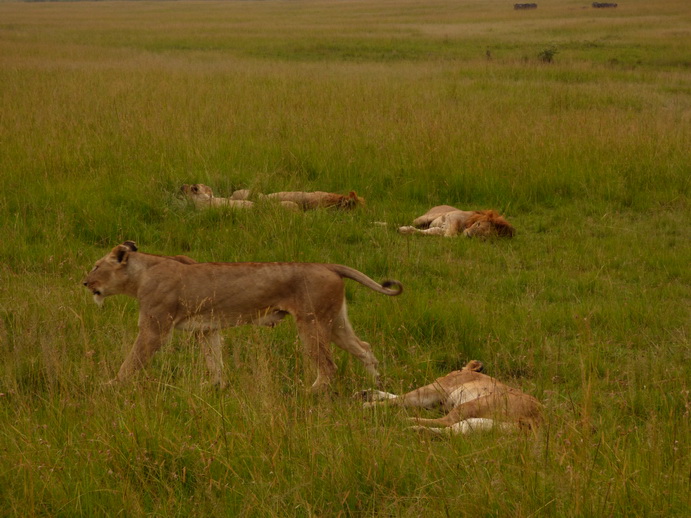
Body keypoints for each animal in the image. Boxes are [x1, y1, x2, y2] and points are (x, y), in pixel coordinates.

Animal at [83, 242, 402, 392]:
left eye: (96, 266)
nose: (85, 283)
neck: (140, 275)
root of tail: (328, 265)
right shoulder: (206, 329)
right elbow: (214, 361)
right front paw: (216, 387)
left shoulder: (155, 327)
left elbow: (132, 360)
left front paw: (111, 385)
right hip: (334, 322)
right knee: (364, 349)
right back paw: (377, 385)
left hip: (311, 322)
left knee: (329, 366)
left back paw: (310, 392)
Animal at [360, 362, 544, 438]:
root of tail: (539, 419)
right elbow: (398, 396)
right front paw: (367, 393)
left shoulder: (435, 389)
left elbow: (403, 397)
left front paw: (369, 404)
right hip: (482, 422)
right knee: (454, 430)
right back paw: (414, 430)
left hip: (473, 404)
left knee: (445, 422)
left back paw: (402, 421)